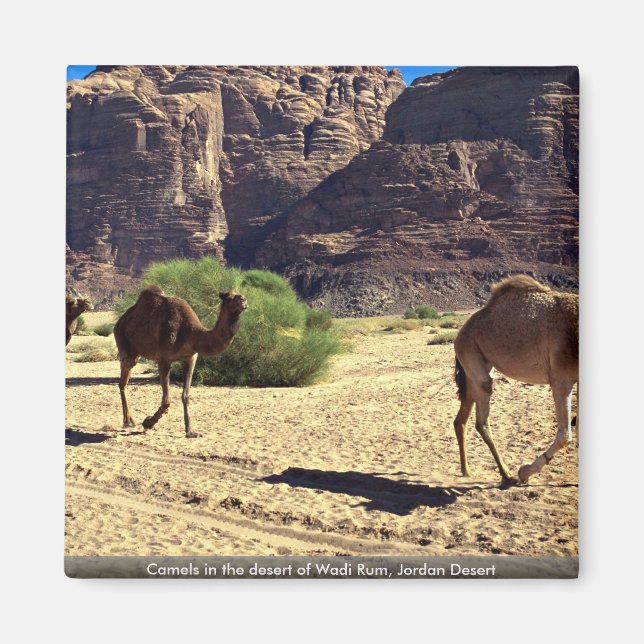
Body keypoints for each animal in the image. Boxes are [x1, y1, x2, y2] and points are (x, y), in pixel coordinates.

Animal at [114, 286, 247, 438]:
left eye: (240, 294)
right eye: (229, 298)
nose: (243, 300)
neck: (190, 332)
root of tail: (120, 321)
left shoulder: (191, 356)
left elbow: (186, 395)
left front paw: (190, 431)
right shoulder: (163, 358)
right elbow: (166, 400)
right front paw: (148, 422)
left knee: (124, 382)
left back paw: (129, 420)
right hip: (124, 343)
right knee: (122, 382)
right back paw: (128, 421)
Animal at [452, 275, 578, 485]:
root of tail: (458, 335)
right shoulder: (561, 378)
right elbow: (565, 435)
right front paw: (524, 472)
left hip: (475, 368)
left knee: (460, 420)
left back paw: (466, 470)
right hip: (471, 355)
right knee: (481, 420)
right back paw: (506, 474)